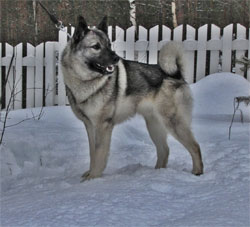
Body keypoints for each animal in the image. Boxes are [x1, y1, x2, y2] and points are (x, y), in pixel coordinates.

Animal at [60, 15, 203, 181]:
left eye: (109, 45)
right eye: (96, 46)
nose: (116, 58)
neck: (85, 81)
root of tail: (176, 74)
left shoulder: (103, 126)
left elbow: (99, 155)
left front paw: (93, 178)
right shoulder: (89, 126)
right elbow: (92, 153)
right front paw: (90, 173)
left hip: (174, 123)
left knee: (195, 146)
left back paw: (197, 172)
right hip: (154, 125)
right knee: (164, 150)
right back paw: (156, 173)